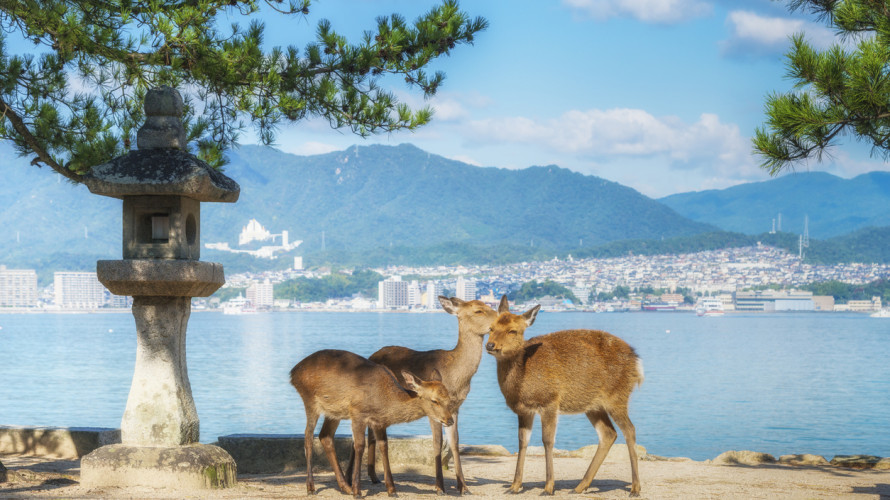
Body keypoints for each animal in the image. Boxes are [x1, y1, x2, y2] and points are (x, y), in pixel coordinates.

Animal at [292, 350, 454, 498]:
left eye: (449, 398)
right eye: (434, 400)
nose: (450, 420)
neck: (383, 400)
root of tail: (293, 373)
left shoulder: (379, 422)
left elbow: (384, 446)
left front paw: (392, 490)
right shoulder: (357, 413)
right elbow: (359, 446)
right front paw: (358, 491)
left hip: (333, 412)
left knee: (325, 436)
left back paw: (345, 487)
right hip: (310, 401)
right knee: (308, 437)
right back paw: (311, 487)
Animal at [348, 294, 500, 494]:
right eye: (478, 310)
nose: (501, 318)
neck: (456, 377)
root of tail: (371, 357)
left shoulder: (455, 408)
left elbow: (455, 442)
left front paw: (464, 487)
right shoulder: (432, 409)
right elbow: (438, 442)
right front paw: (440, 487)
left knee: (371, 433)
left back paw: (374, 477)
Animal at [486, 296, 644, 496]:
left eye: (512, 330)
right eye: (491, 328)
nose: (490, 345)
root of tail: (637, 361)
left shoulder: (550, 401)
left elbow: (547, 440)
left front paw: (548, 488)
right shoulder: (523, 410)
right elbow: (522, 441)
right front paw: (514, 487)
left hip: (617, 396)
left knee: (630, 430)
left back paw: (635, 488)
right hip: (593, 405)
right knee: (609, 434)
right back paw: (580, 486)